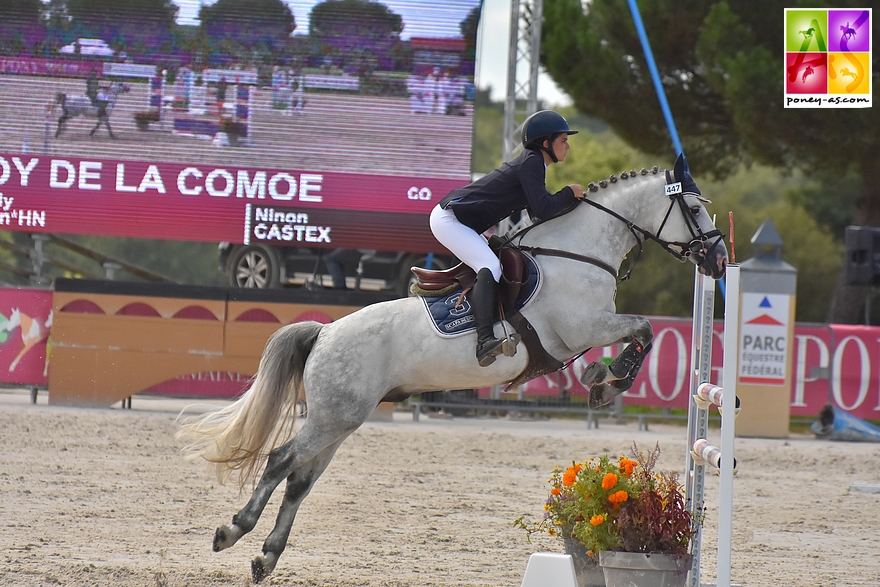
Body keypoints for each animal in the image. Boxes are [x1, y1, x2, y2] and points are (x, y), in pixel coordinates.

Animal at [179, 153, 728, 584]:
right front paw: (609, 381)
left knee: (298, 480)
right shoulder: (585, 326)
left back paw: (266, 558)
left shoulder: (589, 330)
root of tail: (326, 333)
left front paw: (601, 381)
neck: (577, 252)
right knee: (279, 462)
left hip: (339, 420)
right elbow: (644, 330)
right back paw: (232, 531)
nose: (720, 259)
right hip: (334, 417)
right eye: (694, 209)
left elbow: (640, 333)